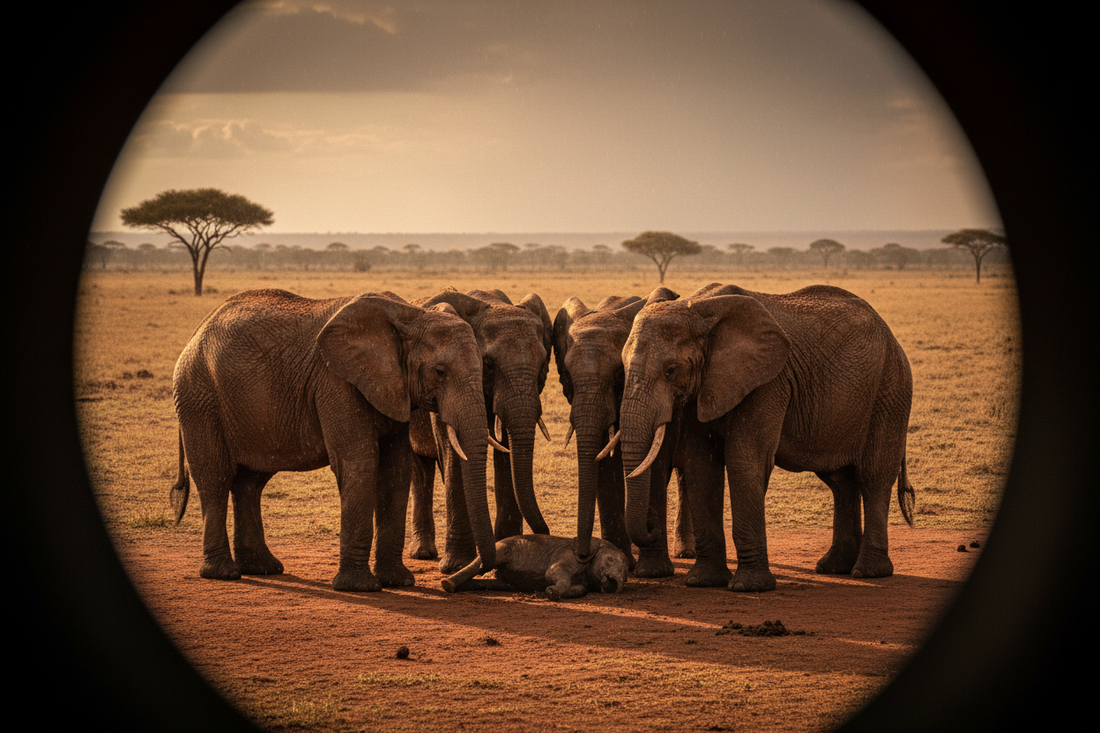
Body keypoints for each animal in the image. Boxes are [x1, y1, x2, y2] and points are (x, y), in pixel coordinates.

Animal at [170, 289, 496, 592]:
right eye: (440, 372)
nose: (449, 583)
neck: (410, 316)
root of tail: (198, 331)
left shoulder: (391, 387)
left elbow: (396, 471)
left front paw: (398, 582)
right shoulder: (336, 382)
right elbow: (359, 464)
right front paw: (360, 587)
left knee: (251, 482)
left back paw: (262, 568)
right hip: (199, 398)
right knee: (215, 478)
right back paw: (223, 573)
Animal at [406, 288, 555, 573]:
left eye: (543, 362)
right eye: (488, 364)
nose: (546, 534)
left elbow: (505, 446)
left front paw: (506, 544)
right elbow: (454, 453)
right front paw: (456, 566)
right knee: (420, 468)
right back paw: (423, 553)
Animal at [441, 534, 629, 601]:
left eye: (626, 573)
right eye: (610, 559)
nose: (615, 584)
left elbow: (580, 589)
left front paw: (548, 592)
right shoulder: (568, 555)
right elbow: (551, 573)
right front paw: (552, 592)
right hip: (503, 546)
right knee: (480, 564)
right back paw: (448, 584)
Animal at [551, 290, 694, 577]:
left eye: (620, 374)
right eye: (567, 375)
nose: (582, 556)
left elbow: (657, 459)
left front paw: (652, 570)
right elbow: (604, 462)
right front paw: (623, 561)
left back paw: (686, 552)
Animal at [620, 283, 915, 592]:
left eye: (670, 371)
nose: (652, 529)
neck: (699, 308)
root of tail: (891, 336)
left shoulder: (768, 382)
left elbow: (745, 460)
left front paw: (749, 587)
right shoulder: (702, 387)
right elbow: (700, 465)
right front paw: (704, 582)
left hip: (891, 390)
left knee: (874, 477)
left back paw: (869, 572)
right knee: (839, 481)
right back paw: (834, 568)